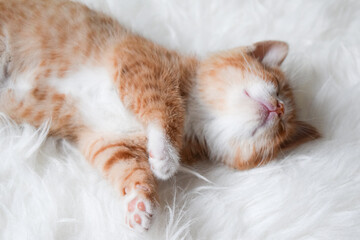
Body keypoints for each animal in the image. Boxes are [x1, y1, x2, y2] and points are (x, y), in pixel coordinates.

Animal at [0, 0, 320, 232]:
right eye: (278, 87)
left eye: (282, 130)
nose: (279, 109)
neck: (196, 114)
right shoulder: (139, 62)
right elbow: (164, 106)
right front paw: (166, 154)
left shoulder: (106, 138)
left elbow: (126, 166)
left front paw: (138, 202)